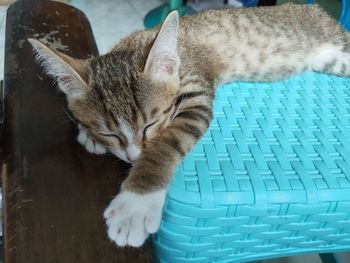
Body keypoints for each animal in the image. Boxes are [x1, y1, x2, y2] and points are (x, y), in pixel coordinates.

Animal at [28, 3, 350, 249]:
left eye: (151, 124)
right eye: (109, 132)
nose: (132, 157)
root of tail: (316, 8)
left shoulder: (195, 98)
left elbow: (164, 144)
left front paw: (136, 204)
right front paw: (90, 136)